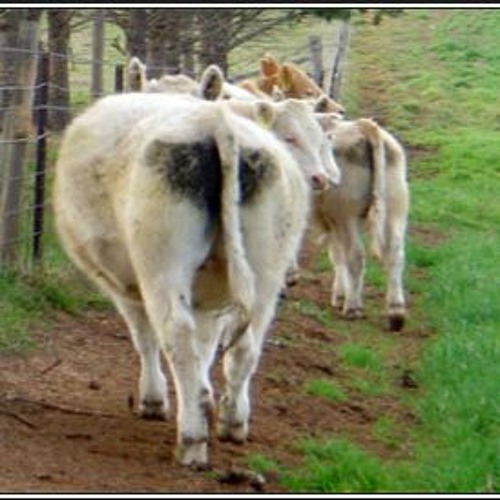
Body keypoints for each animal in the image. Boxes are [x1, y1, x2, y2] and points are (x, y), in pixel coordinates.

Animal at [52, 91, 338, 468]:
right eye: (291, 137)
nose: (321, 179)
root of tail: (215, 120)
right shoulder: (210, 300)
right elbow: (208, 347)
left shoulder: (126, 289)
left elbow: (145, 339)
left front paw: (153, 399)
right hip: (265, 273)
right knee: (245, 347)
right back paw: (231, 421)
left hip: (162, 268)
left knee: (177, 336)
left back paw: (191, 439)